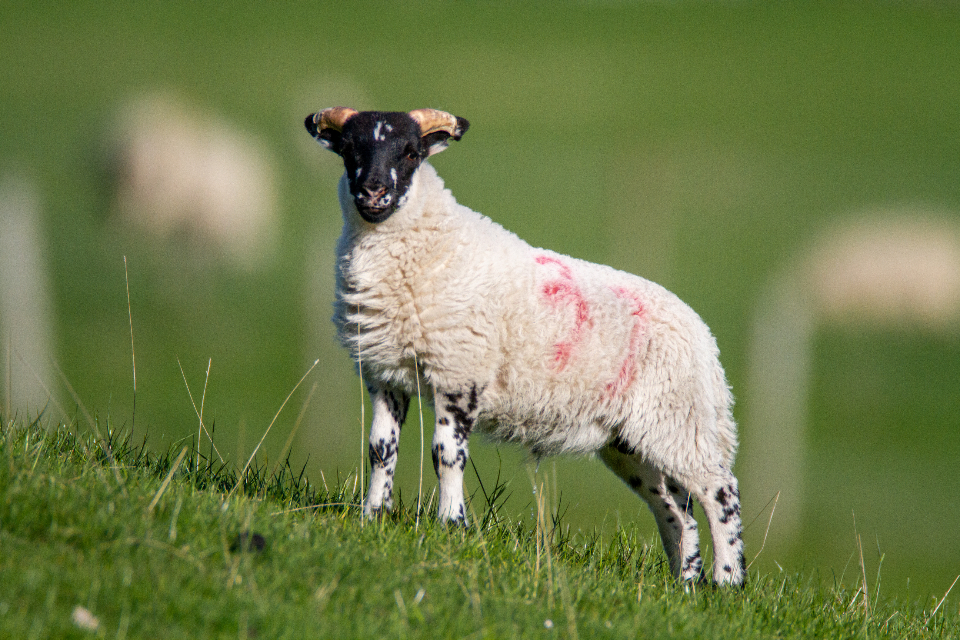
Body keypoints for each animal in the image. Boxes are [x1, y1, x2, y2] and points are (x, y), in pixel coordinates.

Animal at [305, 107, 745, 585]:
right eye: (350, 149)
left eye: (410, 153)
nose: (373, 192)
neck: (427, 246)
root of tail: (704, 338)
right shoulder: (384, 373)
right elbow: (380, 450)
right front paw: (373, 518)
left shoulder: (460, 373)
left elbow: (447, 455)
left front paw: (452, 527)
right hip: (631, 439)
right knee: (677, 510)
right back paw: (683, 583)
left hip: (681, 419)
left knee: (719, 493)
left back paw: (727, 582)